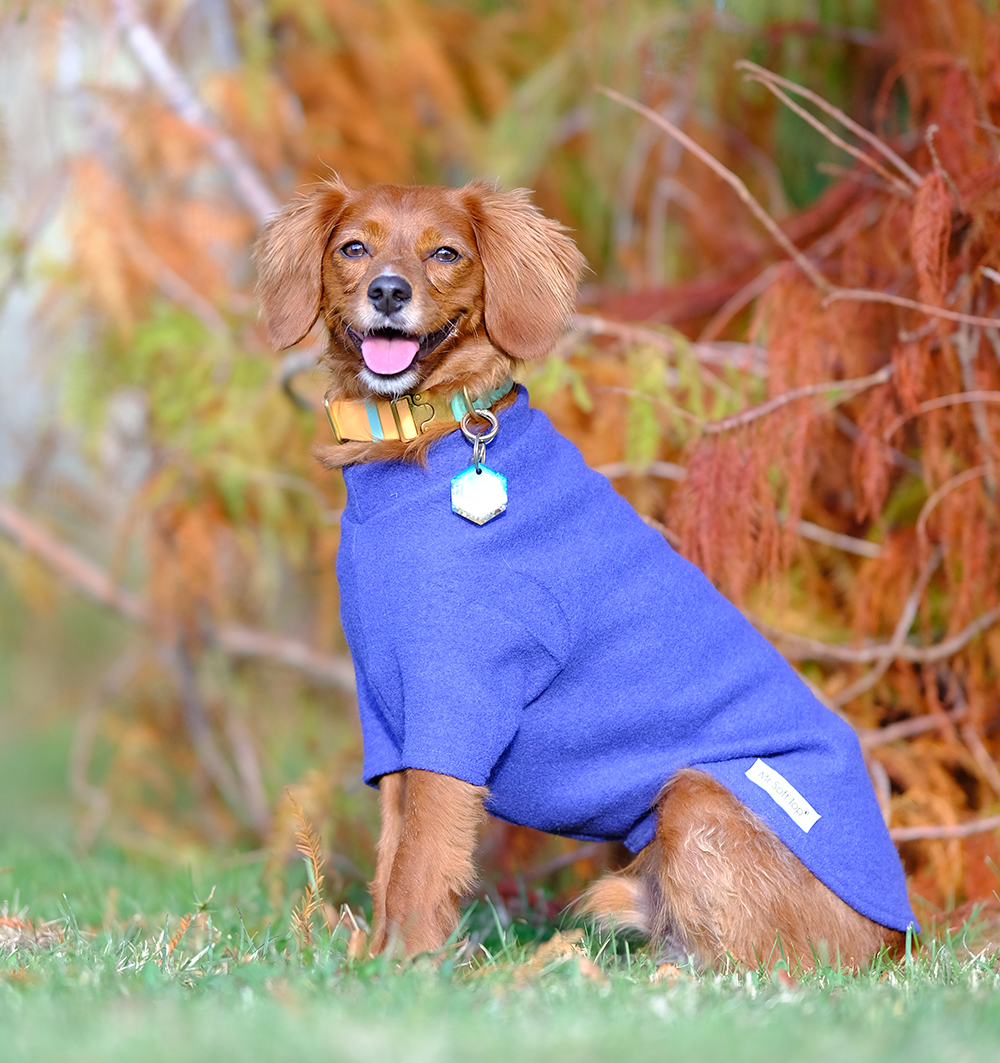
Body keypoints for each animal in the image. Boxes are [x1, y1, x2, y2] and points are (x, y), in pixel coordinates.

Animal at [253, 178, 918, 969]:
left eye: (445, 253)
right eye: (354, 247)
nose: (388, 291)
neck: (421, 440)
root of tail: (896, 937)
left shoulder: (457, 704)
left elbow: (419, 865)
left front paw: (405, 969)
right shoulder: (393, 724)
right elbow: (390, 861)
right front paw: (374, 963)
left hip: (696, 795)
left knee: (756, 968)